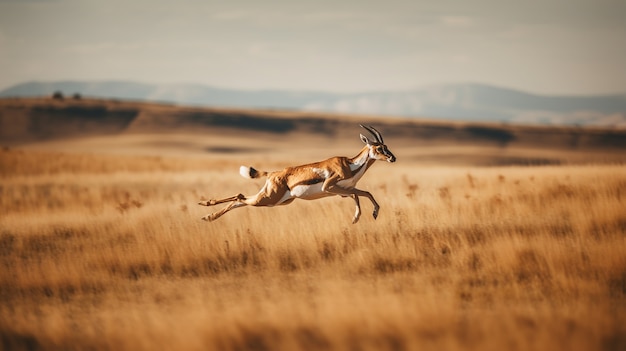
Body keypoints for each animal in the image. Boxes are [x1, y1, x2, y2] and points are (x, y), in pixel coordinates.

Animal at [199, 125, 394, 224]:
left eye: (386, 146)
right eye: (379, 148)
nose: (393, 158)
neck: (350, 165)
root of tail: (273, 173)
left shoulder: (342, 191)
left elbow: (365, 193)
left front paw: (374, 214)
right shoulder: (330, 187)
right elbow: (357, 195)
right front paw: (356, 218)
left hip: (277, 201)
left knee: (240, 198)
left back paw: (208, 215)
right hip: (269, 199)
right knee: (240, 197)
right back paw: (206, 209)